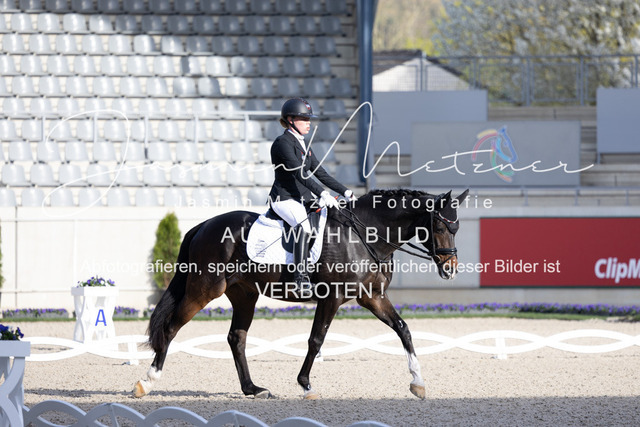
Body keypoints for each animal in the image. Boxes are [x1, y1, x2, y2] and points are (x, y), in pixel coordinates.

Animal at [133, 188, 469, 400]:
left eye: (457, 228)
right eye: (441, 227)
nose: (450, 268)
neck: (366, 235)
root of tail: (204, 225)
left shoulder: (371, 297)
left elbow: (403, 329)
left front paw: (418, 382)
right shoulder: (332, 297)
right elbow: (316, 340)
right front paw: (306, 386)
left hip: (244, 295)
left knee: (236, 338)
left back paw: (253, 389)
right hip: (205, 289)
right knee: (171, 327)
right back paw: (147, 382)